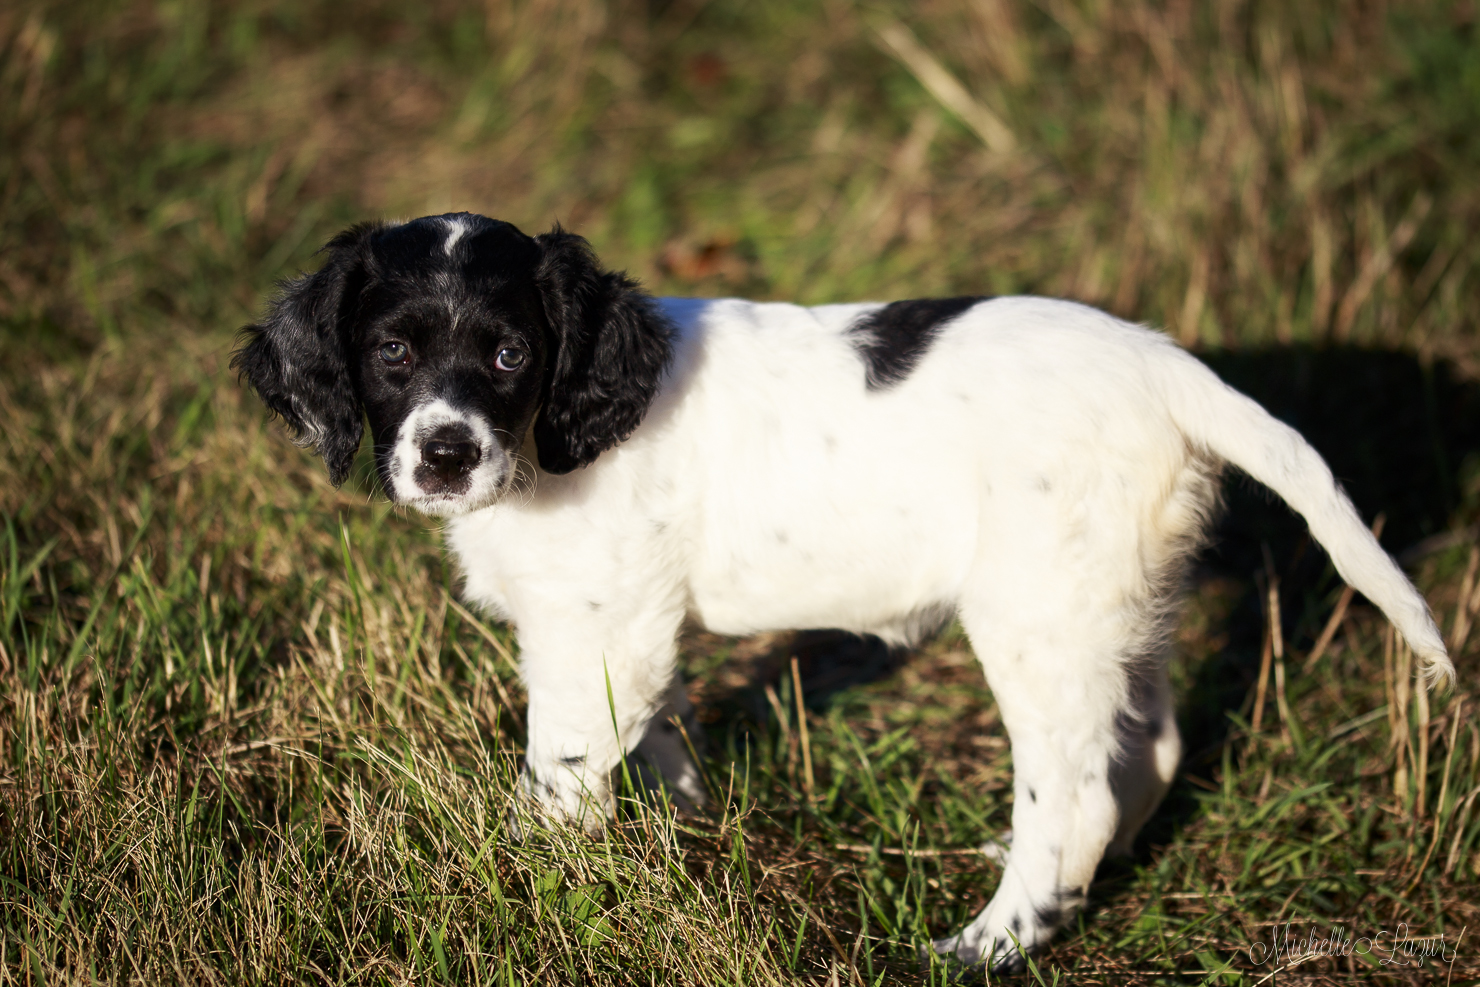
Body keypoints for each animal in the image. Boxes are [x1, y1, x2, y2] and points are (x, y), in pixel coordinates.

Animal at [236, 210, 1450, 970]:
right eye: (392, 354)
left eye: (507, 357)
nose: (444, 456)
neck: (555, 439)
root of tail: (1169, 367)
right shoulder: (633, 629)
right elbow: (665, 738)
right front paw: (688, 839)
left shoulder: (598, 633)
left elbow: (559, 783)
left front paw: (525, 897)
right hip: (1113, 600)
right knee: (1145, 748)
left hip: (1036, 615)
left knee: (1074, 791)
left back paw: (993, 941)